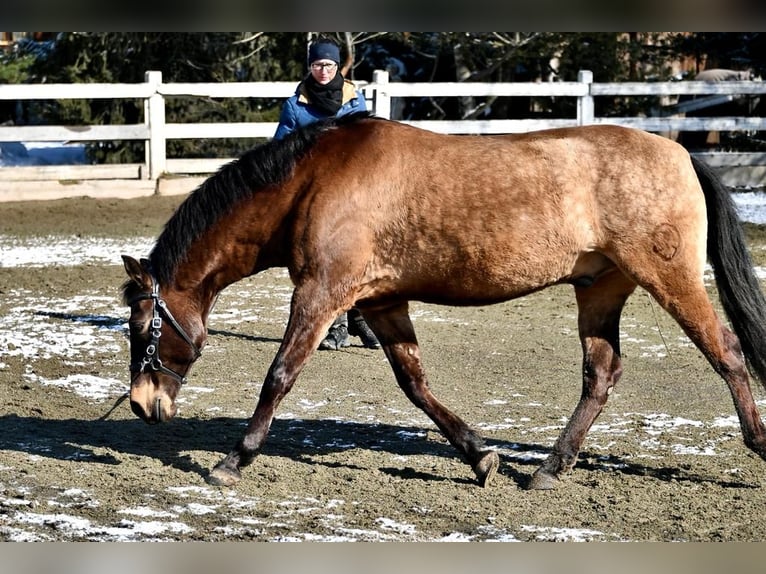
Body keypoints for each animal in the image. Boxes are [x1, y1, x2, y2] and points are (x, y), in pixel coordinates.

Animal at [121, 112, 766, 489]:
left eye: (141, 326)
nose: (143, 405)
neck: (311, 181)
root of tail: (679, 153)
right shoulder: (381, 302)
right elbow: (415, 384)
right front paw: (480, 455)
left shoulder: (322, 294)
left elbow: (279, 374)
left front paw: (234, 460)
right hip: (600, 290)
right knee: (600, 375)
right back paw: (548, 470)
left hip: (670, 277)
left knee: (727, 353)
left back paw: (758, 444)